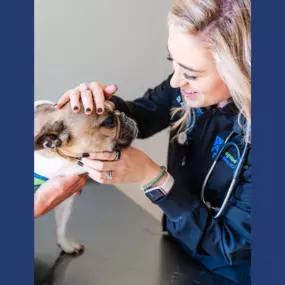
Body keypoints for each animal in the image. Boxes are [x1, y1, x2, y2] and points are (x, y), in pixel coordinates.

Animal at [33, 99, 138, 253]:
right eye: (109, 121)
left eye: (114, 106)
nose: (123, 115)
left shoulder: (65, 200)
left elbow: (61, 227)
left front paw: (66, 245)